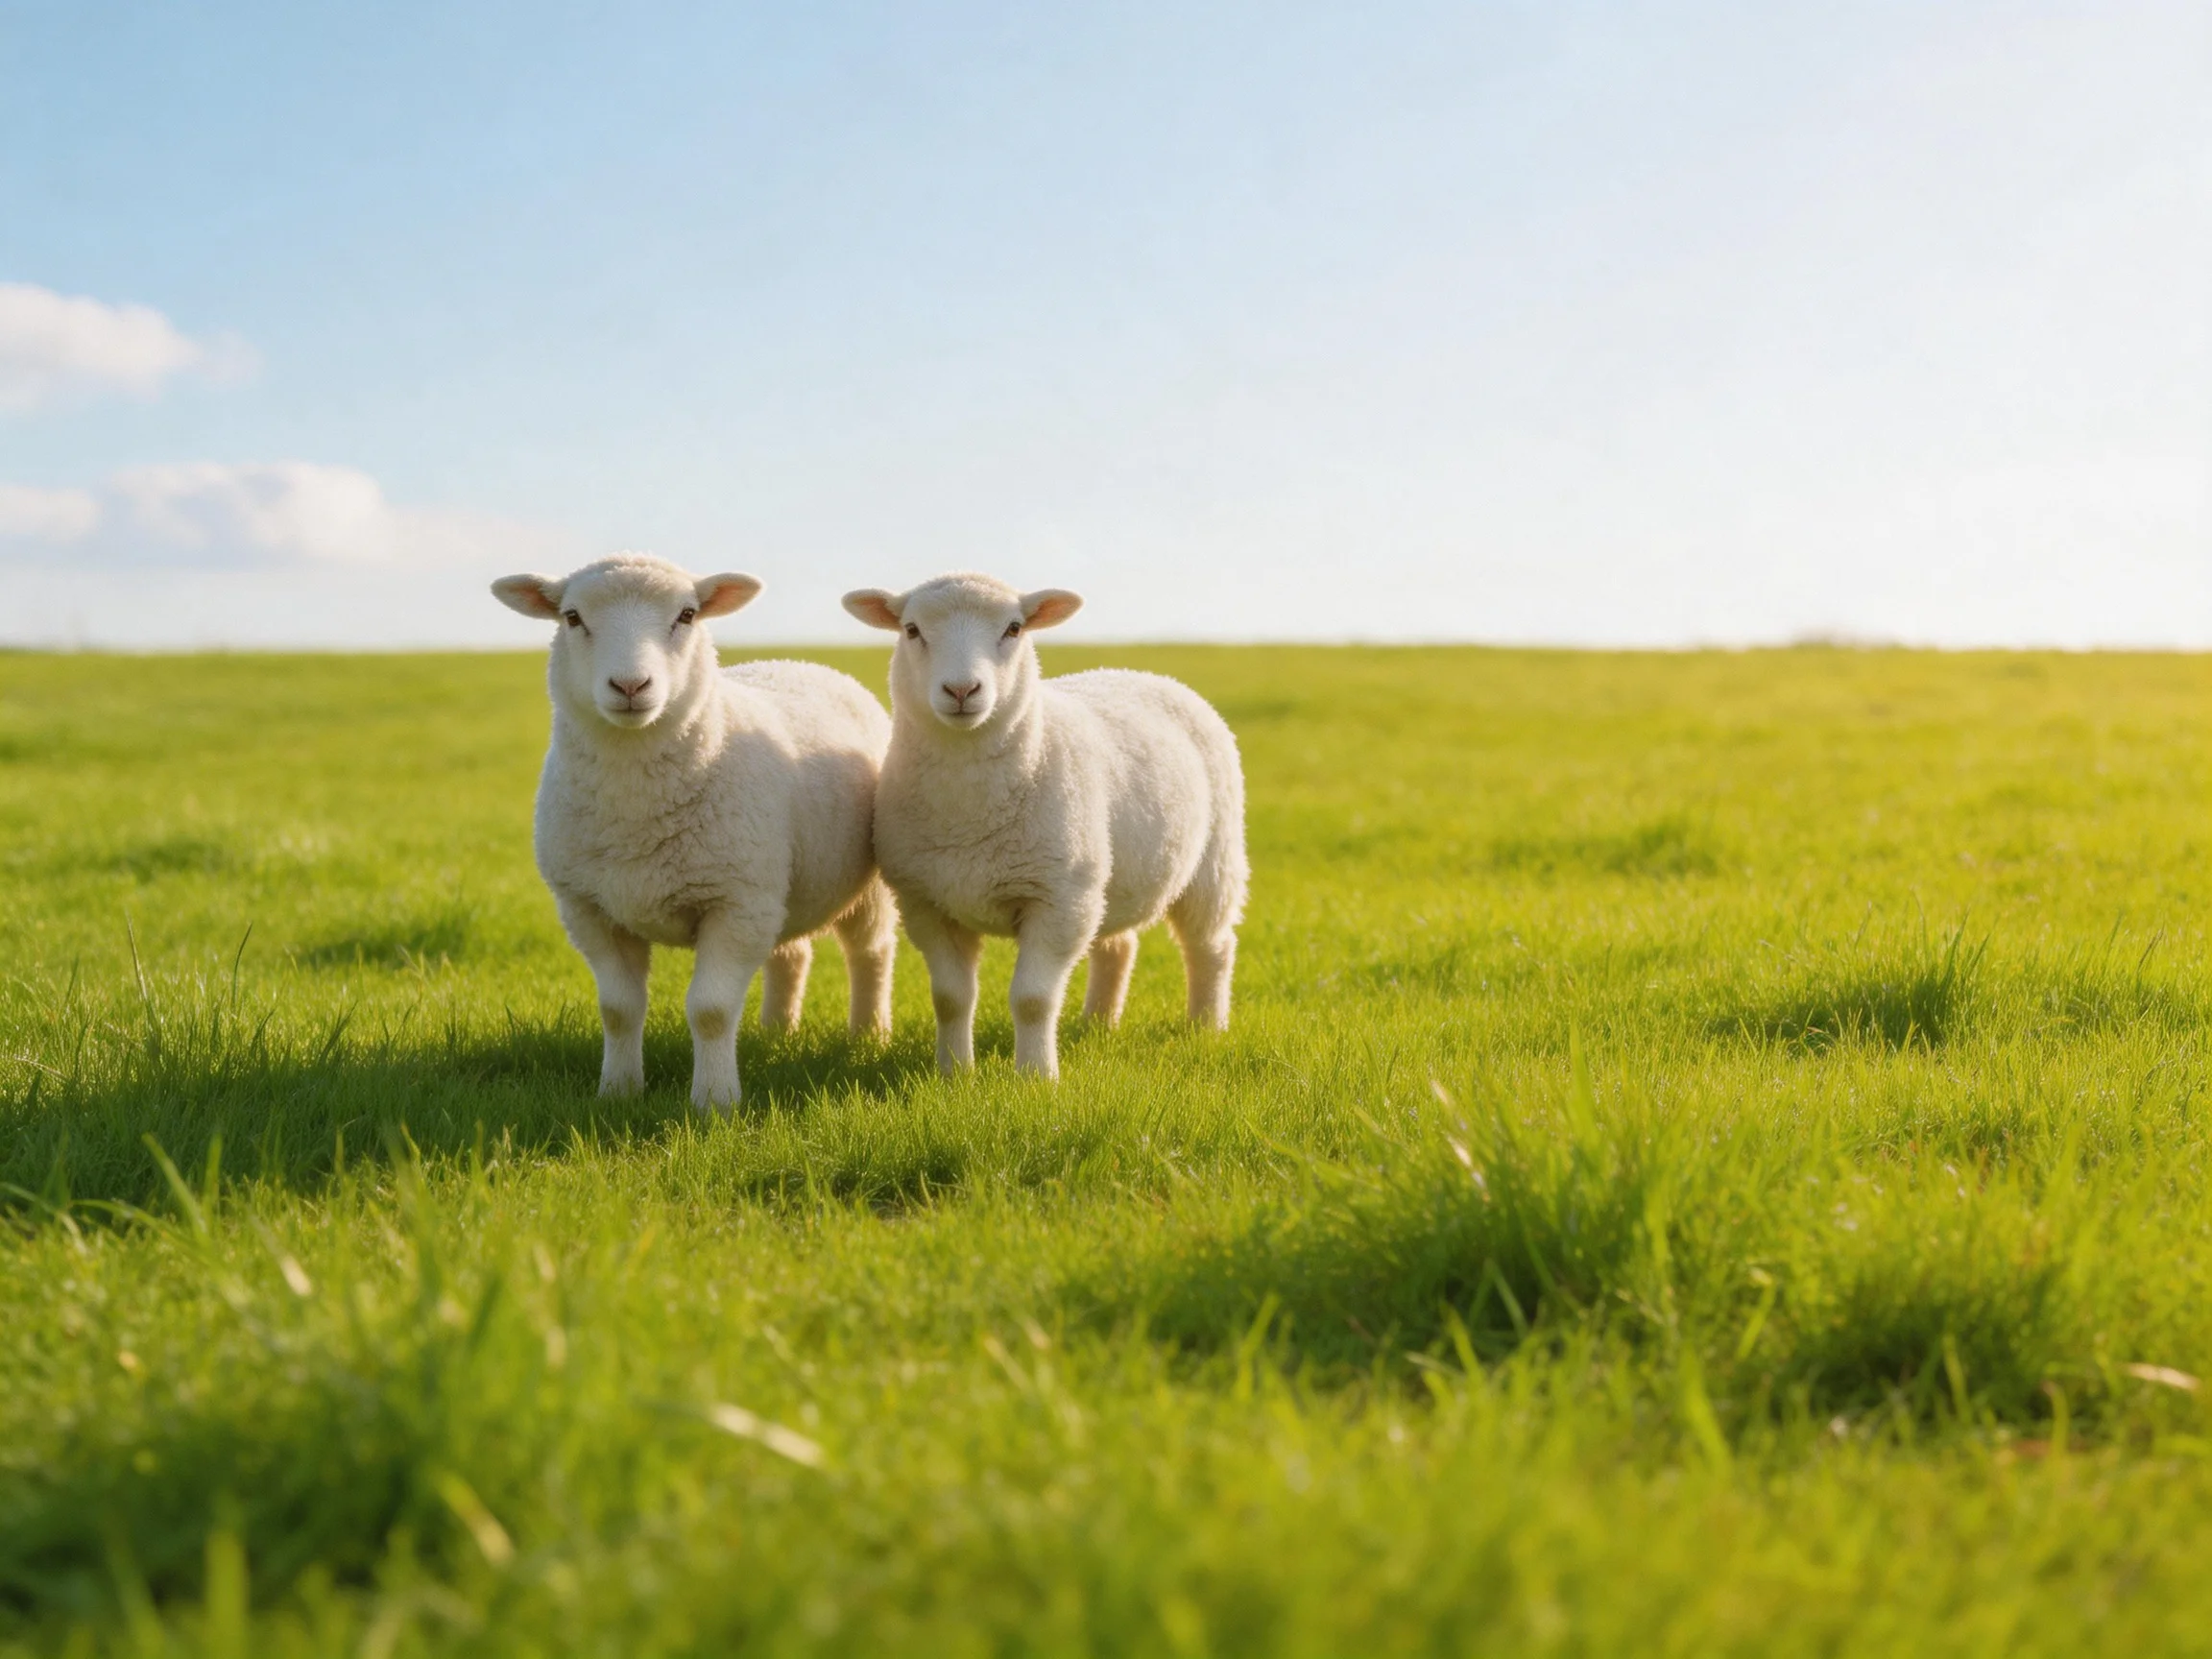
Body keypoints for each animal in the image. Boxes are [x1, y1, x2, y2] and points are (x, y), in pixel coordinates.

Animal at [493, 553, 897, 1110]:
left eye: (686, 615)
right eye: (572, 617)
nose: (630, 687)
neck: (635, 809)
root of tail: (803, 663)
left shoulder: (733, 903)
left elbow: (710, 1010)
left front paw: (715, 1102)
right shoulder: (588, 909)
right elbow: (618, 1009)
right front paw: (617, 1092)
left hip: (858, 883)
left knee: (870, 953)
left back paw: (868, 1037)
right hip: (775, 884)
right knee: (791, 952)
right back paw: (776, 1032)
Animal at [842, 572, 1247, 1080]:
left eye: (1014, 628)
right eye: (911, 629)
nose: (961, 690)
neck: (968, 814)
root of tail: (1142, 673)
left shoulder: (1058, 898)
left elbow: (1033, 1000)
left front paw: (1035, 1077)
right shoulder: (926, 903)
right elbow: (951, 998)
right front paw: (954, 1074)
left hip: (1214, 860)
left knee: (1210, 946)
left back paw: (1207, 1026)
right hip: (1106, 878)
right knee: (1117, 945)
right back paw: (1098, 1023)